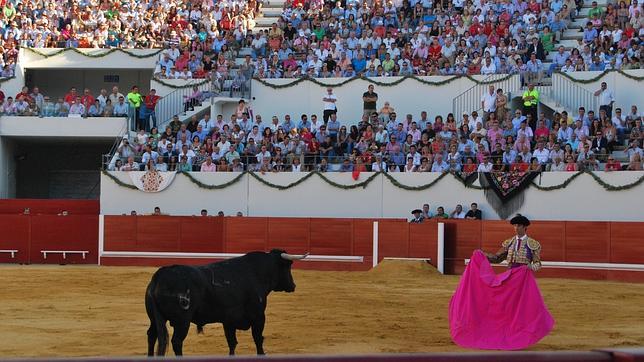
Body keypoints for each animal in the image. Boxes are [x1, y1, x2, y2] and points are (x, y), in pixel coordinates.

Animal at [146, 249, 306, 356]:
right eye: (288, 265)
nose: (293, 285)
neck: (257, 272)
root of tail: (160, 275)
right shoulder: (259, 316)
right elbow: (258, 338)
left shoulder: (229, 320)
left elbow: (232, 342)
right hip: (182, 321)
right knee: (177, 341)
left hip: (154, 319)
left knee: (152, 335)